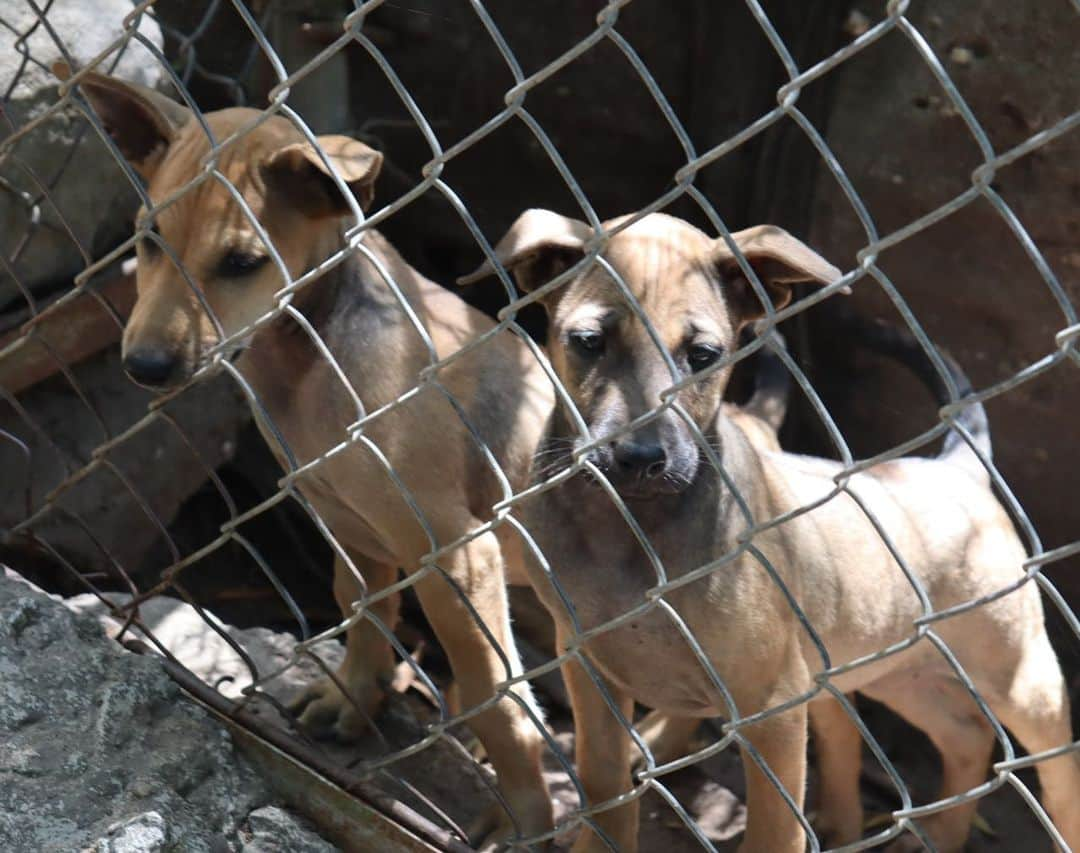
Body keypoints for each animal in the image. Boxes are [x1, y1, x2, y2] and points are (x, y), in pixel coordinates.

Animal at [69, 70, 557, 846]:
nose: (143, 367)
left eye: (242, 264)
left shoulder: (456, 553)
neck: (310, 349)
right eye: (149, 240)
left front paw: (527, 820)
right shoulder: (348, 522)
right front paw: (352, 699)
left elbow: (498, 700)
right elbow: (362, 608)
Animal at [466, 208, 1080, 853]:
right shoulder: (588, 665)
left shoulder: (773, 705)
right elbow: (607, 792)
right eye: (587, 343)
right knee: (965, 736)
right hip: (897, 669)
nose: (640, 459)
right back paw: (931, 832)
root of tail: (956, 469)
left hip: (1019, 677)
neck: (631, 528)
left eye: (703, 355)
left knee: (1056, 767)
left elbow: (773, 828)